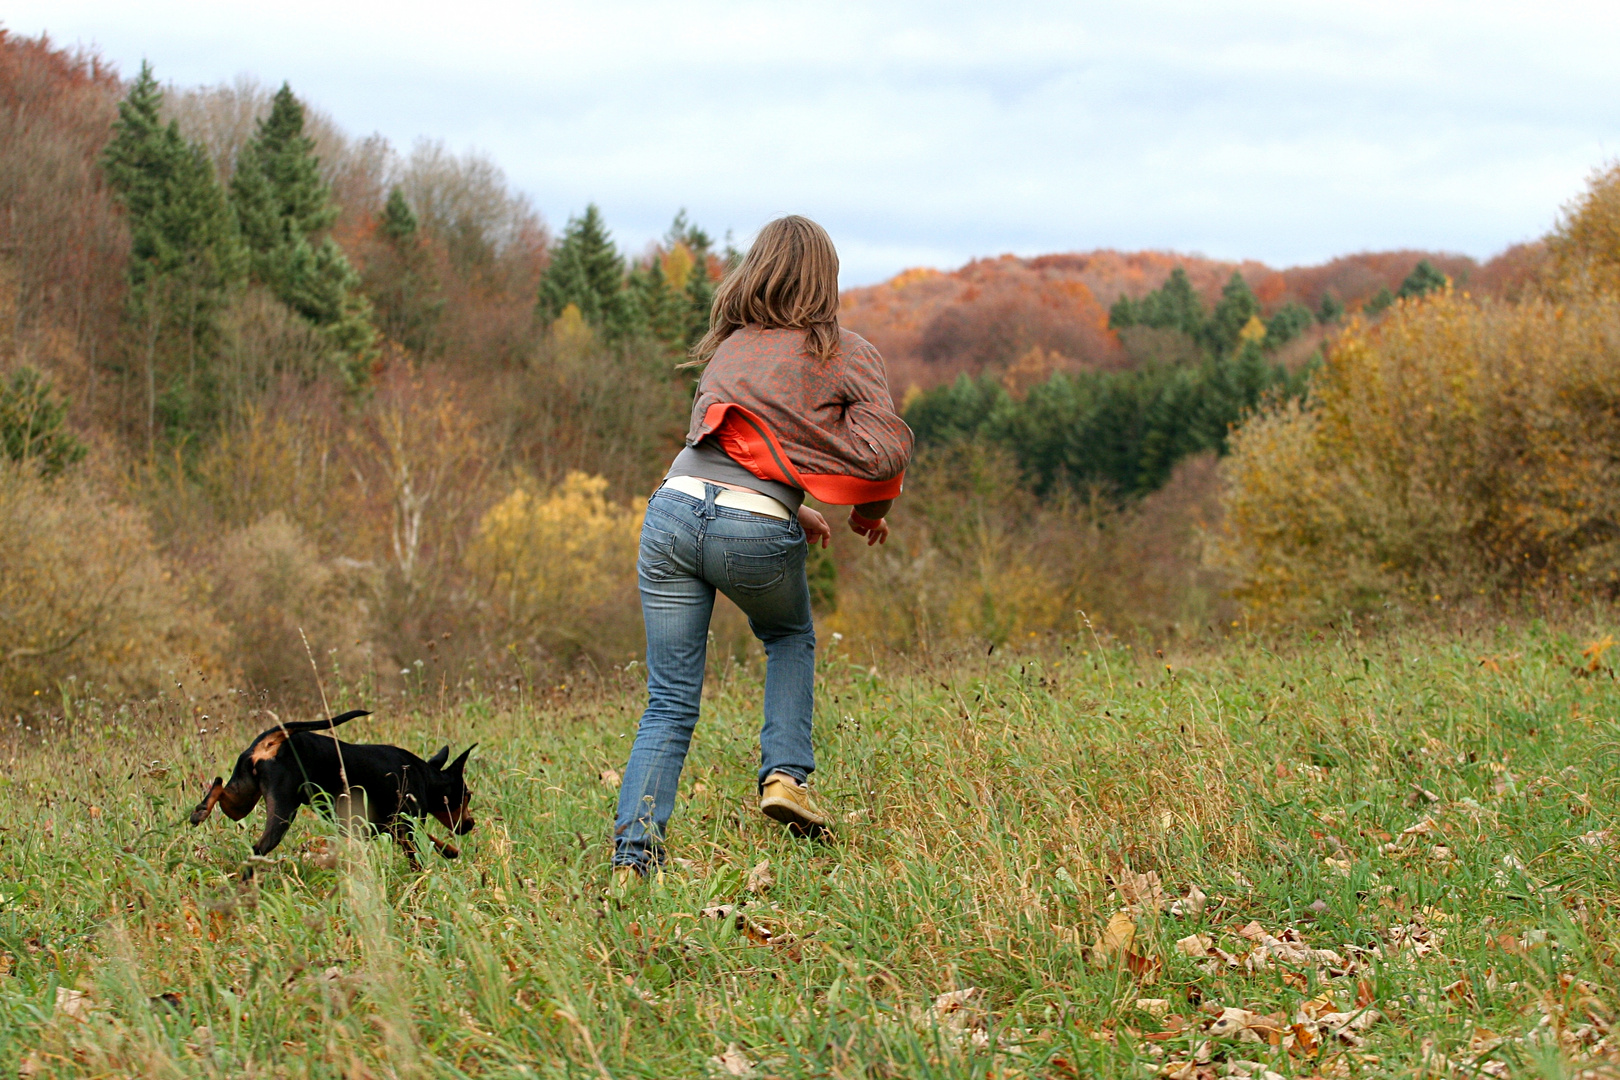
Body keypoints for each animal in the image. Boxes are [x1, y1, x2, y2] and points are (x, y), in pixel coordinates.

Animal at [187, 709, 473, 867]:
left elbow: (433, 839)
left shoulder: (386, 827)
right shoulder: (406, 828)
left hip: (241, 799)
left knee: (218, 785)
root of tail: (272, 742)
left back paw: (200, 811)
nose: (471, 824)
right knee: (258, 849)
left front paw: (450, 850)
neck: (426, 776)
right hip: (282, 811)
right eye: (467, 796)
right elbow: (421, 852)